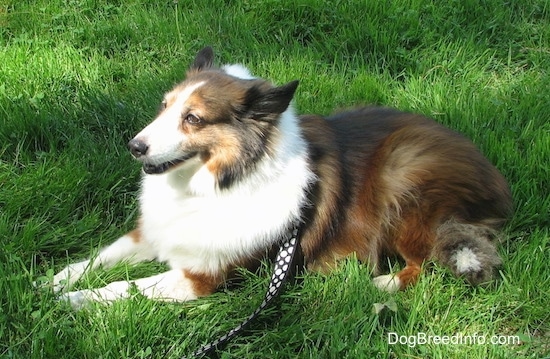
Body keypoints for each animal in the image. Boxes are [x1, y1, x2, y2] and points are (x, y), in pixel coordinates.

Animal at [54, 45, 516, 310]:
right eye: (164, 107)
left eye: (193, 119)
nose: (135, 146)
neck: (212, 186)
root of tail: (494, 180)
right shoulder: (155, 233)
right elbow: (103, 256)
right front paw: (55, 280)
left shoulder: (201, 278)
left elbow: (123, 288)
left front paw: (72, 301)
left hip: (404, 177)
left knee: (422, 264)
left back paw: (381, 285)